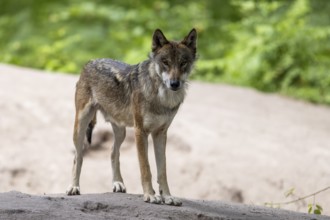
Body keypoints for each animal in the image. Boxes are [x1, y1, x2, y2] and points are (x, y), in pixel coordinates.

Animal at [65, 27, 197, 206]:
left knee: (113, 153)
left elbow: (162, 171)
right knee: (78, 157)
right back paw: (74, 187)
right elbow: (146, 168)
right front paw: (150, 195)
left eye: (183, 63)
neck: (161, 97)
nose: (174, 84)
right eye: (165, 62)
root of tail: (90, 61)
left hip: (121, 132)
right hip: (81, 126)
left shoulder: (160, 134)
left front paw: (168, 197)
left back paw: (118, 183)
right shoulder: (140, 132)